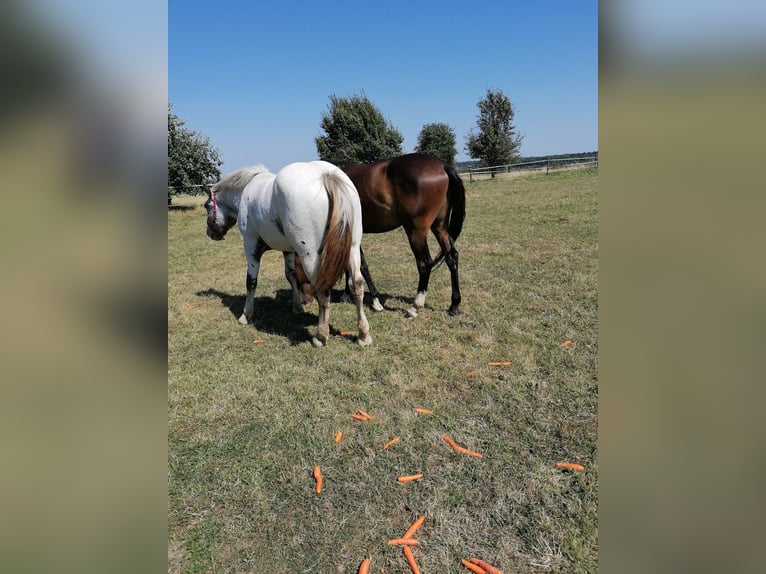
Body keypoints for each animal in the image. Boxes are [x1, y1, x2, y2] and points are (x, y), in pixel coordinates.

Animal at [202, 162, 374, 352]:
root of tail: (326, 176)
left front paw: (246, 315)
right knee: (357, 285)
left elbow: (251, 282)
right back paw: (363, 335)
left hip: (310, 256)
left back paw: (321, 336)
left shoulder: (250, 245)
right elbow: (291, 276)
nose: (211, 233)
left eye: (206, 206)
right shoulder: (288, 250)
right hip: (352, 249)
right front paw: (297, 306)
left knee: (323, 291)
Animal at [296, 155, 464, 318]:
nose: (304, 300)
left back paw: (415, 307)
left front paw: (374, 300)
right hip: (440, 228)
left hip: (416, 231)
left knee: (425, 264)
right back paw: (454, 305)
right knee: (452, 258)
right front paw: (347, 294)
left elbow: (361, 266)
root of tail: (441, 165)